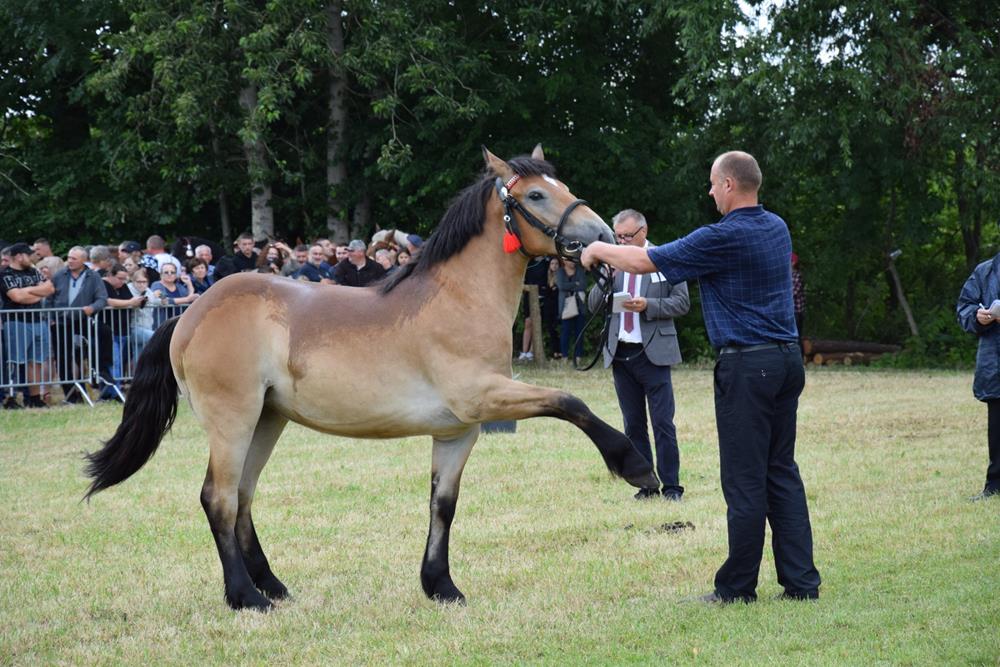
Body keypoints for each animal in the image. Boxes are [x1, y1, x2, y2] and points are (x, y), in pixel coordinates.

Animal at [83, 145, 658, 612]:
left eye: (563, 186)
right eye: (537, 193)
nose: (603, 237)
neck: (459, 298)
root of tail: (191, 312)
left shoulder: (458, 430)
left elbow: (442, 505)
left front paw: (440, 586)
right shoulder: (484, 399)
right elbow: (570, 402)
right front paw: (634, 466)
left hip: (266, 421)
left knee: (243, 497)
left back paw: (273, 585)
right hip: (233, 420)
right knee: (219, 499)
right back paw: (246, 597)